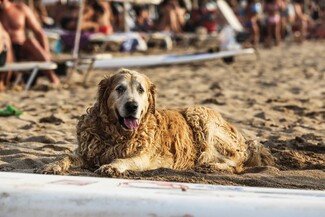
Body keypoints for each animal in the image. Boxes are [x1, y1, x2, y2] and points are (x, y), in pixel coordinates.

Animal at [41, 68, 274, 177]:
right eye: (120, 89)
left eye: (141, 90)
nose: (132, 106)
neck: (115, 134)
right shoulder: (87, 151)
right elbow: (66, 156)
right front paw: (53, 165)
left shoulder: (144, 156)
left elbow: (124, 160)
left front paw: (112, 167)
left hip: (198, 113)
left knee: (237, 162)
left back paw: (211, 166)